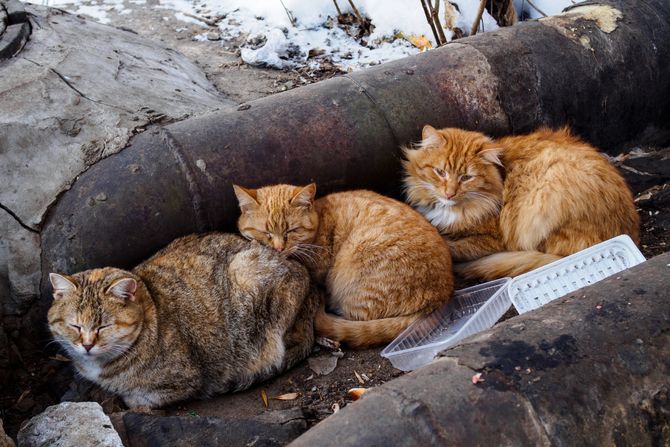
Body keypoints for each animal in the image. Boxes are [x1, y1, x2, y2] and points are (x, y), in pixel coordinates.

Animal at [48, 233, 320, 408]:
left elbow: (140, 398)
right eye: (75, 326)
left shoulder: (185, 382)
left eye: (104, 326)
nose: (87, 344)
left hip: (249, 275)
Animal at [404, 126, 640, 280]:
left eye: (466, 177)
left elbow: (455, 245)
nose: (449, 193)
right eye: (440, 172)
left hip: (540, 201)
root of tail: (628, 232)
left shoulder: (492, 239)